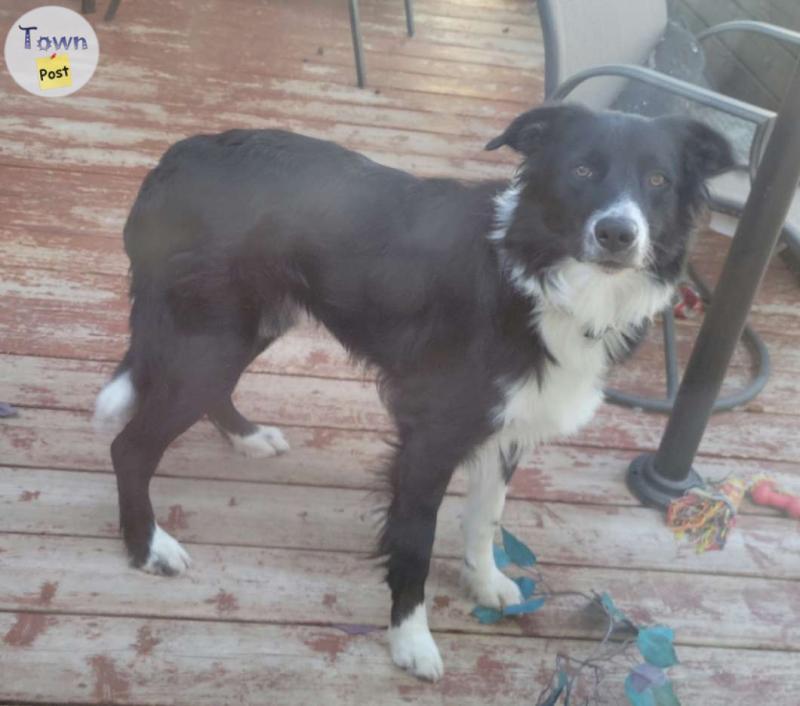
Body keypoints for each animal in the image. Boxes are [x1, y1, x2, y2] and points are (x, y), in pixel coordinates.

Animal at [92, 103, 732, 676]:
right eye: (581, 171)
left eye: (659, 180)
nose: (618, 233)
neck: (538, 276)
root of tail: (179, 155)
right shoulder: (431, 435)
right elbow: (416, 544)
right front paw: (411, 640)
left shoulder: (510, 423)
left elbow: (485, 517)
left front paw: (485, 580)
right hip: (213, 335)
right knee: (131, 448)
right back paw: (146, 547)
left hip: (249, 326)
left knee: (207, 397)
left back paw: (246, 437)